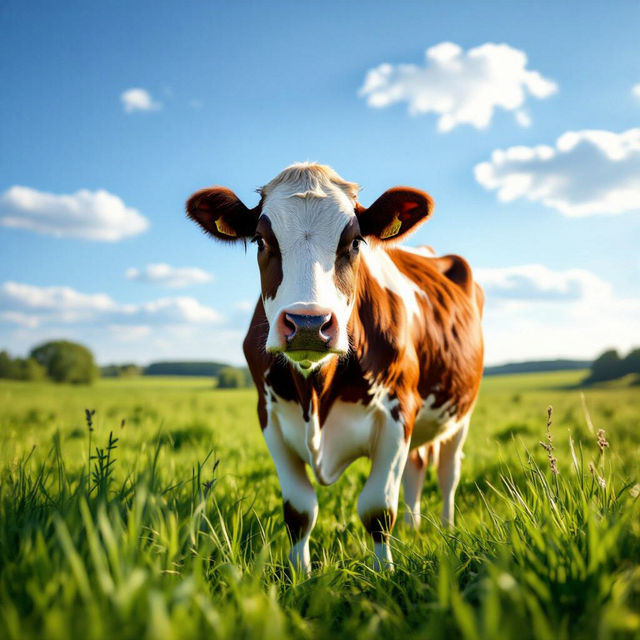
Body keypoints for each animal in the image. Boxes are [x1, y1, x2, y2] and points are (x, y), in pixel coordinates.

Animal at [187, 163, 484, 572]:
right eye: (261, 240)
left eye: (355, 242)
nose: (308, 323)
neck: (316, 393)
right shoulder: (269, 417)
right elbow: (299, 511)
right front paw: (300, 574)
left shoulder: (398, 412)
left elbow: (377, 510)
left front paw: (384, 573)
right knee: (418, 466)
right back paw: (413, 526)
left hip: (461, 414)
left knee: (448, 472)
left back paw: (446, 527)